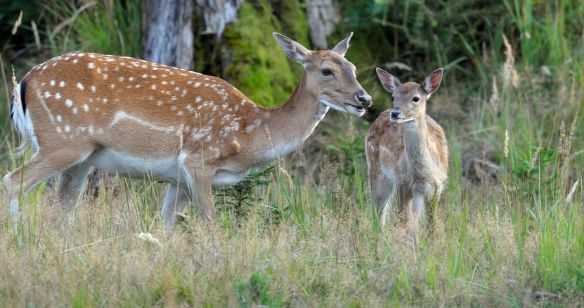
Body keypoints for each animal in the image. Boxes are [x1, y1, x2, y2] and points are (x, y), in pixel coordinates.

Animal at [4, 32, 372, 230]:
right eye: (327, 71)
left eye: (353, 67)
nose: (365, 99)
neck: (250, 134)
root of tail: (25, 81)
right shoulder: (198, 160)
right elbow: (211, 222)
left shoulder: (176, 177)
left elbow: (166, 223)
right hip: (62, 139)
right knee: (12, 180)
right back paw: (20, 237)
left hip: (83, 158)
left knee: (63, 206)